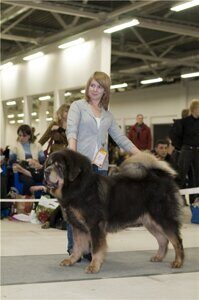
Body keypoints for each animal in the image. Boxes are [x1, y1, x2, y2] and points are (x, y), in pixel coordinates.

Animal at [44, 149, 184, 274]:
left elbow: (96, 248)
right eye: (49, 163)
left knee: (176, 241)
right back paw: (158, 257)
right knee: (163, 240)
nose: (45, 171)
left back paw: (178, 262)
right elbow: (77, 246)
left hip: (163, 218)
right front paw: (71, 260)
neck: (79, 188)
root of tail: (163, 176)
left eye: (59, 166)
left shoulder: (95, 225)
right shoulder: (78, 226)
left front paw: (93, 266)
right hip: (150, 222)